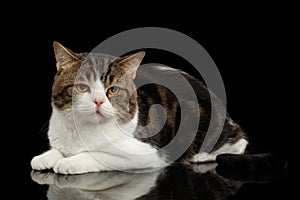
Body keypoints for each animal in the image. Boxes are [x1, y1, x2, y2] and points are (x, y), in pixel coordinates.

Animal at [31, 41, 248, 173]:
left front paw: (69, 162)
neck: (83, 129)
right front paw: (46, 157)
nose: (98, 101)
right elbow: (58, 148)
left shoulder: (149, 155)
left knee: (239, 143)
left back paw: (201, 156)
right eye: (82, 87)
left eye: (112, 90)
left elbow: (98, 155)